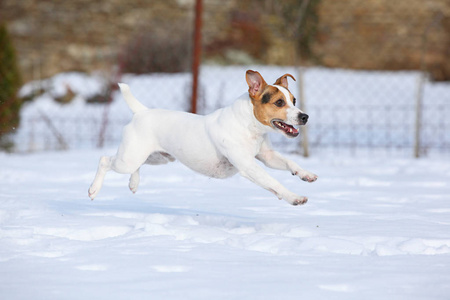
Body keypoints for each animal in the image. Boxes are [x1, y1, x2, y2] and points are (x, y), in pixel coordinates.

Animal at [89, 70, 316, 205]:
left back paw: (133, 183)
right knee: (104, 160)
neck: (248, 125)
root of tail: (141, 112)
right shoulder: (248, 166)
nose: (305, 116)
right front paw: (294, 197)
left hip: (157, 157)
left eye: (294, 100)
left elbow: (290, 162)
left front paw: (306, 174)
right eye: (279, 103)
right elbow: (274, 182)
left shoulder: (267, 156)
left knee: (136, 166)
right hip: (128, 158)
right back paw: (93, 189)